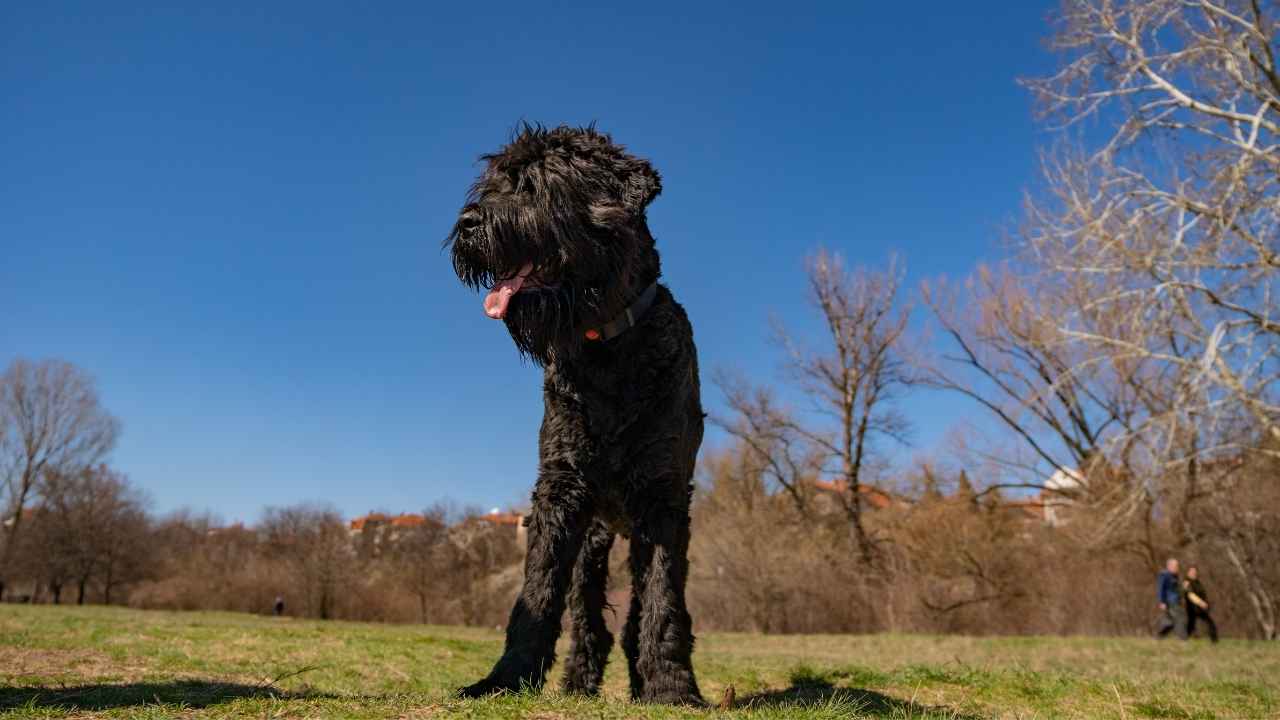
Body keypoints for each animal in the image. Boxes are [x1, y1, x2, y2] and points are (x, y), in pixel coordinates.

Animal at [445, 122, 706, 702]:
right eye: (495, 182)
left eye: (537, 186)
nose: (468, 223)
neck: (606, 348)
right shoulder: (561, 489)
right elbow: (539, 591)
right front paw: (506, 677)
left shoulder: (663, 499)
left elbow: (662, 600)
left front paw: (672, 687)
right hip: (594, 537)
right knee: (589, 621)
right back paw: (577, 684)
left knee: (632, 617)